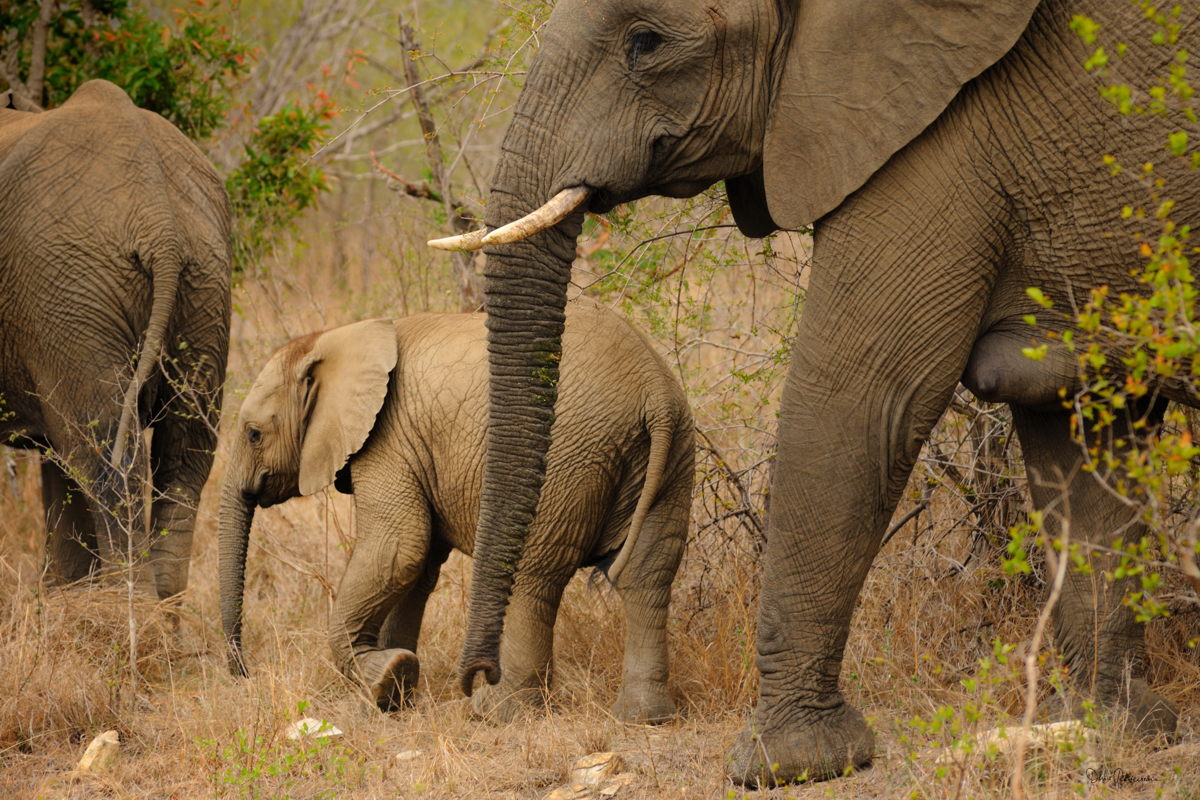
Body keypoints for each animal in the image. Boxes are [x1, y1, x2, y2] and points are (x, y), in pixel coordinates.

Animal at [0, 79, 231, 599]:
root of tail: (160, 219)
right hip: (204, 282)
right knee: (183, 458)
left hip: (66, 286)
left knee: (107, 461)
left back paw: (125, 613)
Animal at [218, 302, 696, 724]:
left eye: (254, 434)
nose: (243, 672)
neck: (333, 338)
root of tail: (653, 388)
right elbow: (416, 566)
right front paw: (395, 693)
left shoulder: (388, 438)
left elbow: (399, 547)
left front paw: (386, 676)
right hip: (673, 453)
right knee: (648, 574)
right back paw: (645, 718)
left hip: (567, 457)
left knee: (533, 577)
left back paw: (497, 712)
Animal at [432, 0, 1200, 786]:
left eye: (646, 43)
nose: (475, 683)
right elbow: (1081, 437)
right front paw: (1115, 729)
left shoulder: (941, 132)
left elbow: (860, 397)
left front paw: (789, 764)